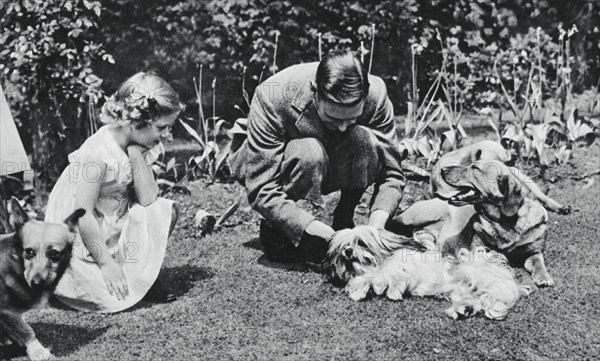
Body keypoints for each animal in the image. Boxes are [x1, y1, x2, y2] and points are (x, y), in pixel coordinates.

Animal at [0, 198, 85, 358]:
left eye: (54, 254)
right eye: (29, 252)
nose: (36, 283)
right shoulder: (6, 309)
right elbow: (26, 330)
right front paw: (37, 350)